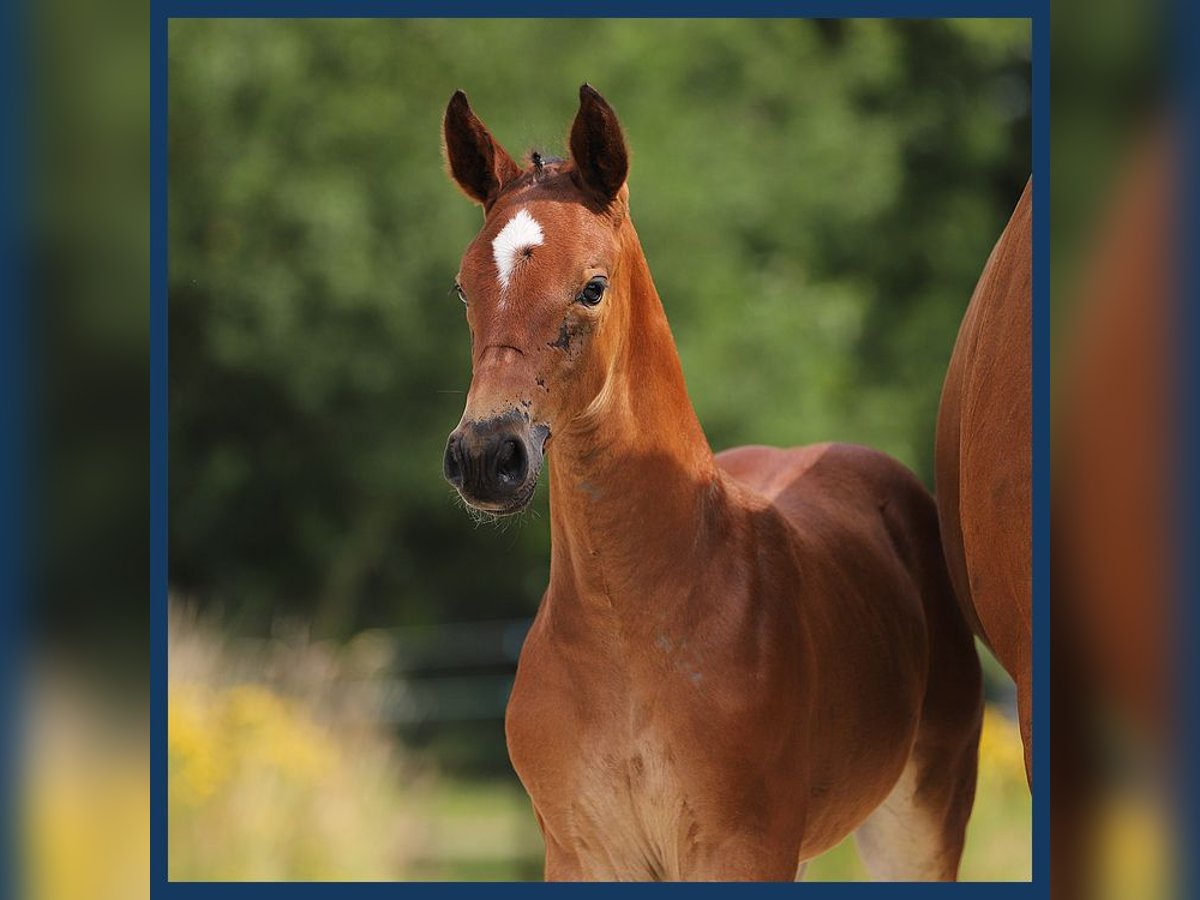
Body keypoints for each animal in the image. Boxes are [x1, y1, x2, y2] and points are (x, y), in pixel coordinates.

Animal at [441, 86, 984, 883]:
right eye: (464, 288)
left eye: (593, 287)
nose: (486, 454)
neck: (630, 631)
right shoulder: (580, 851)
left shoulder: (745, 848)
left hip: (921, 815)